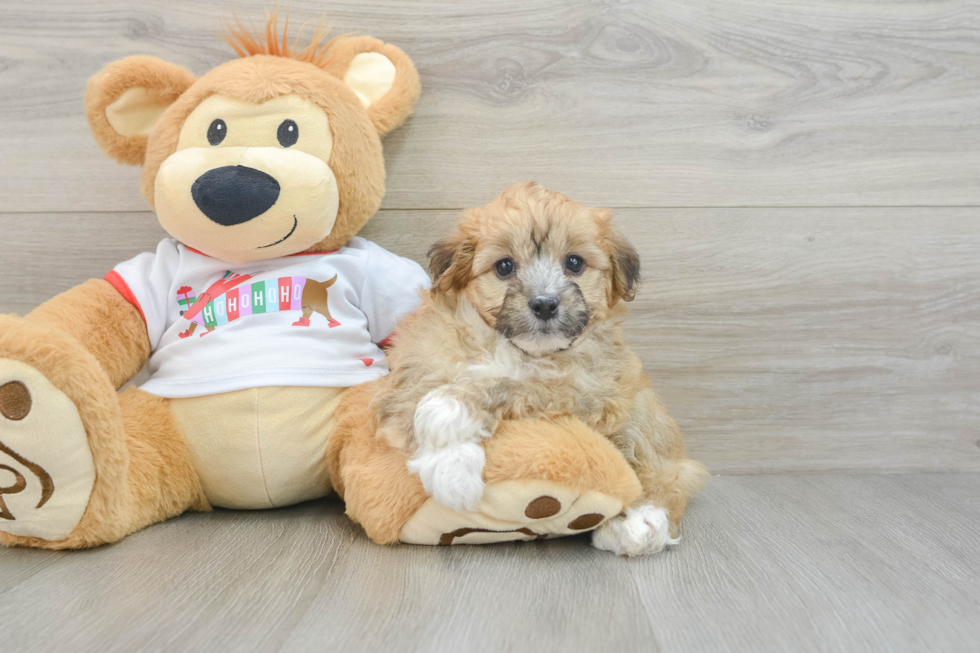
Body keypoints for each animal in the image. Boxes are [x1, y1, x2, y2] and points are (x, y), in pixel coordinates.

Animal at [374, 183, 704, 556]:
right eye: (504, 267)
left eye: (574, 262)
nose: (545, 304)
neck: (514, 348)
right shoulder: (421, 358)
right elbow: (412, 398)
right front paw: (453, 466)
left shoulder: (589, 389)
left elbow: (520, 385)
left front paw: (449, 413)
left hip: (642, 415)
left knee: (660, 464)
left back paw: (642, 520)